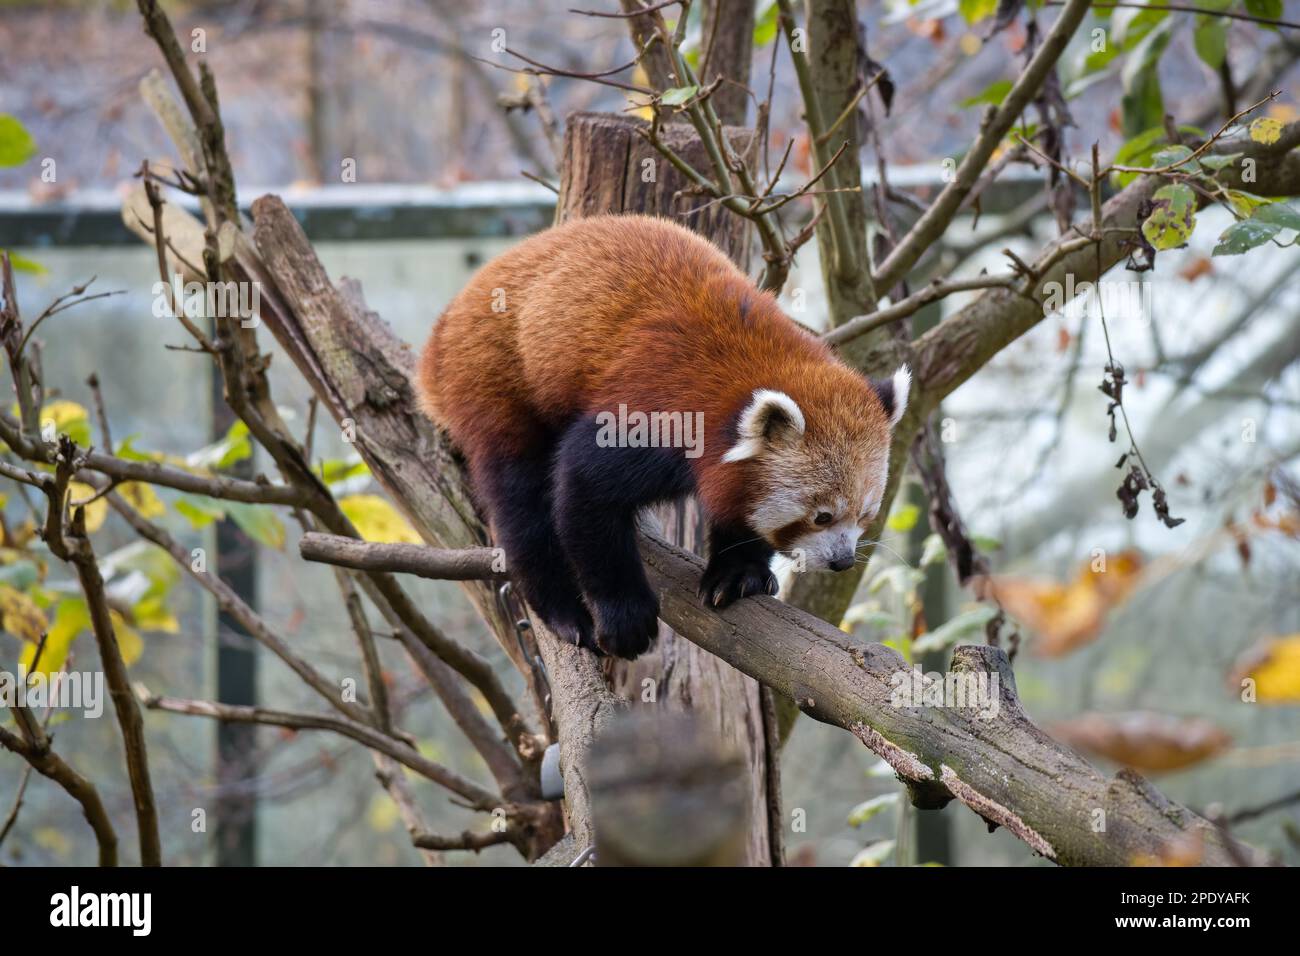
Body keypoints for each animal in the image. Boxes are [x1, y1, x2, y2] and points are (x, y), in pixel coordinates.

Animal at [421, 217, 909, 660]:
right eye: (822, 516)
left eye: (866, 515)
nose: (842, 560)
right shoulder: (654, 414)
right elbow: (584, 490)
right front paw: (625, 617)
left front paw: (738, 572)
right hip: (493, 376)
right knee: (520, 503)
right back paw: (562, 611)